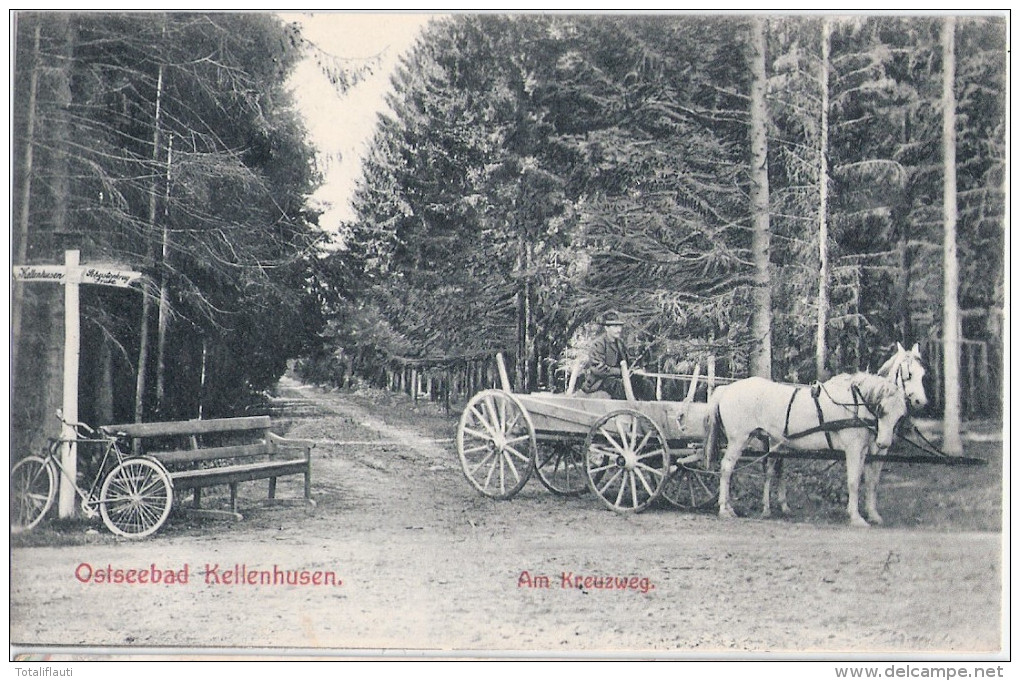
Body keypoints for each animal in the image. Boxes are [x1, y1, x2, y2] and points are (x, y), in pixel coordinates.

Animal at [709, 373, 909, 526]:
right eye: (881, 409)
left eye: (900, 415)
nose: (884, 443)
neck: (852, 405)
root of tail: (726, 389)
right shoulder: (852, 449)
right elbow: (853, 482)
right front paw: (856, 517)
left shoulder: (863, 450)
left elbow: (868, 482)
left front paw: (872, 515)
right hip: (738, 440)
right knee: (726, 468)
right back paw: (724, 509)